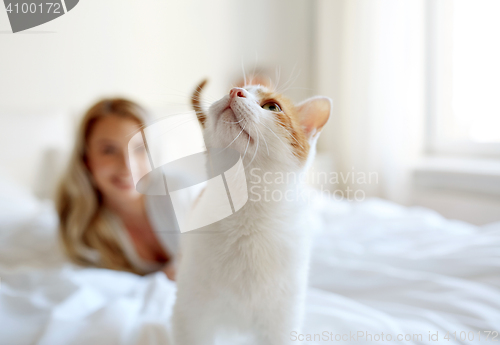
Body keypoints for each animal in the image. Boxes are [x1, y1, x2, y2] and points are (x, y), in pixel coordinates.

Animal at [172, 78, 332, 344]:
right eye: (240, 88)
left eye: (272, 107)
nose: (234, 91)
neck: (245, 221)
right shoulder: (191, 316)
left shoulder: (281, 322)